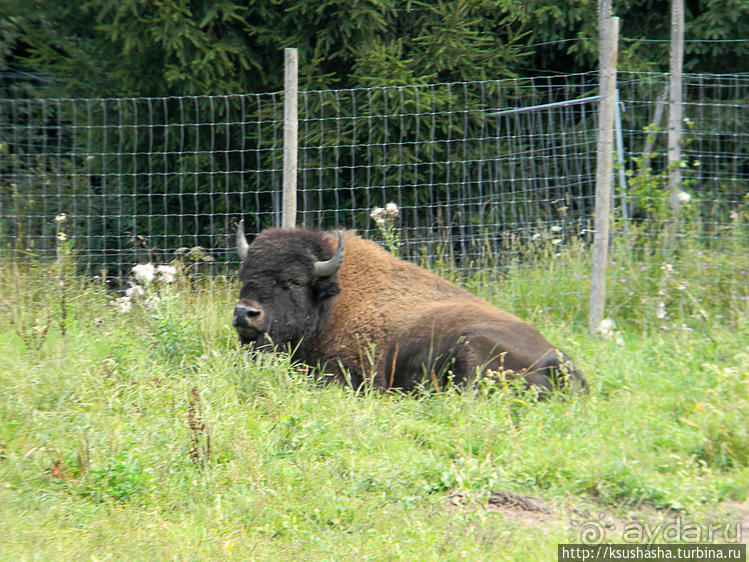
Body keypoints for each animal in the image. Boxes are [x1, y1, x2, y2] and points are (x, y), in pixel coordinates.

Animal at [232, 221, 584, 392]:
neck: (332, 304)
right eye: (244, 275)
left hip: (471, 345)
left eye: (293, 281)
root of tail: (560, 362)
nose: (245, 313)